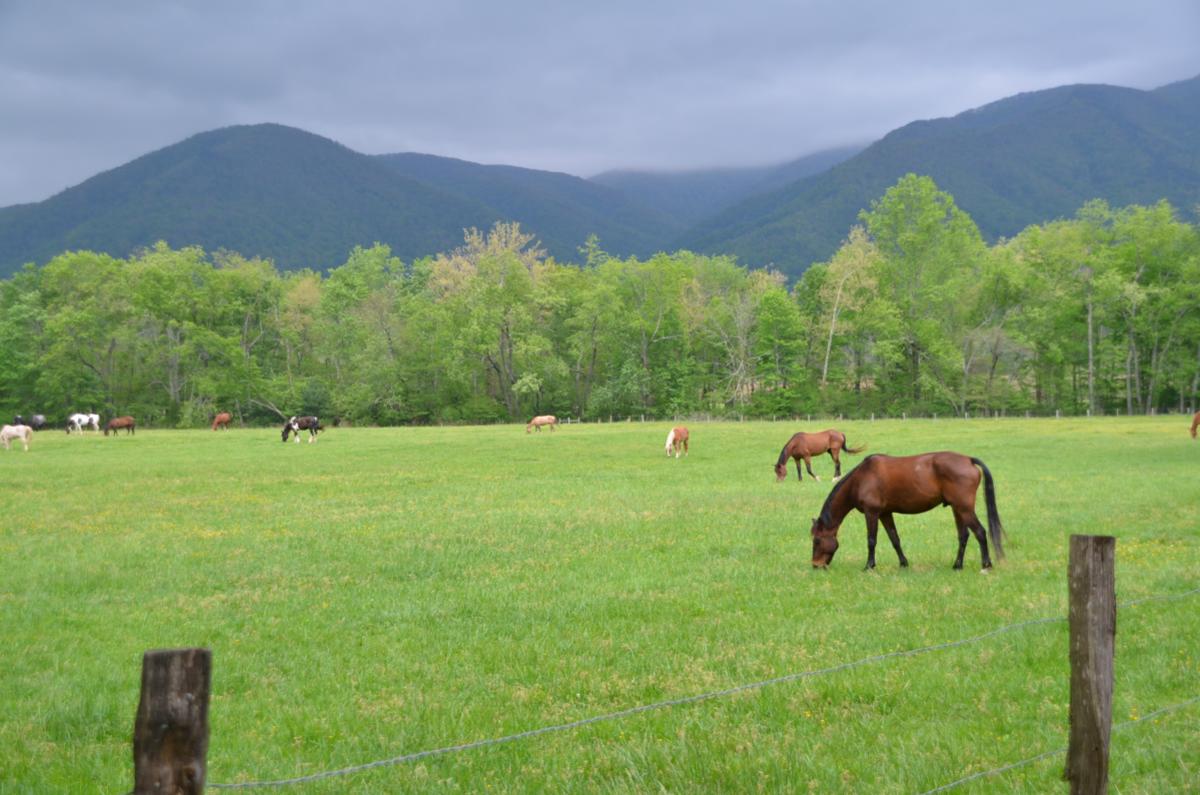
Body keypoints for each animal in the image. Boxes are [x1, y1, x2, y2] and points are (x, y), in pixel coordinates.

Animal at [809, 452, 1005, 571]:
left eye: (817, 541)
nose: (815, 565)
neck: (861, 478)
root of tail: (968, 460)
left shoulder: (871, 513)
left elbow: (871, 540)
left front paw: (869, 566)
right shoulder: (885, 514)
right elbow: (894, 539)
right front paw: (903, 563)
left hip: (964, 508)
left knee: (980, 532)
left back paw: (986, 565)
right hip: (958, 509)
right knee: (964, 535)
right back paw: (957, 565)